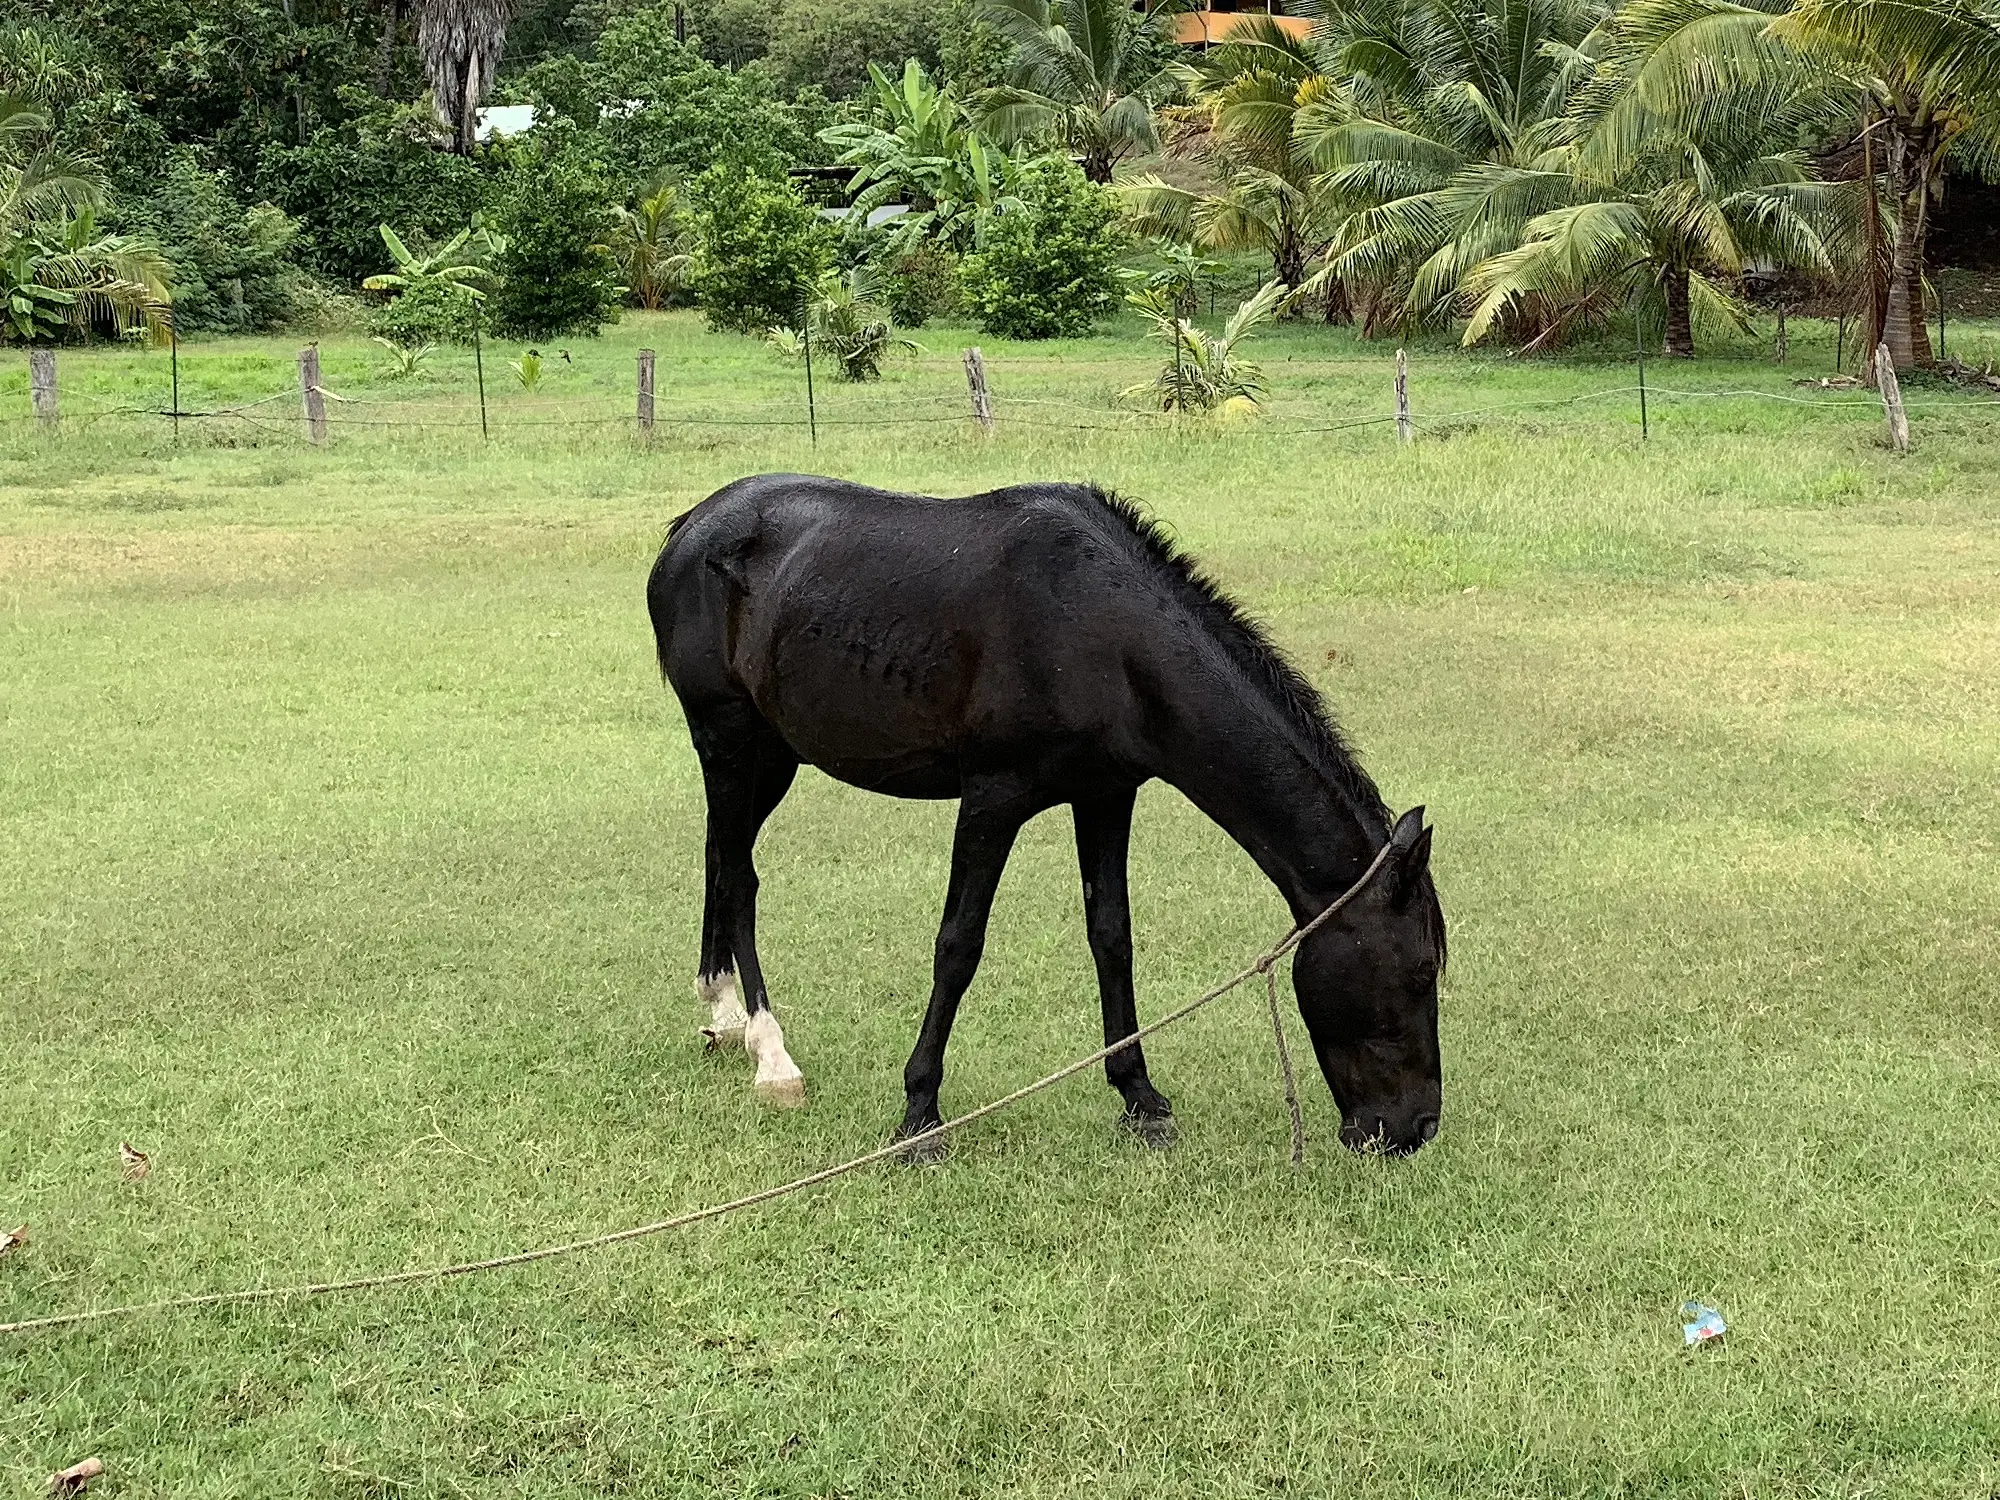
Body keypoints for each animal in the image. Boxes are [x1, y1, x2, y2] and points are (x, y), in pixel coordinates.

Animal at [648, 476, 1448, 1160]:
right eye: (1416, 973)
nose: (1415, 1128)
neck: (1102, 632)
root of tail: (693, 525)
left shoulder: (1106, 796)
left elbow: (1111, 937)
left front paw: (1138, 1097)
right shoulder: (992, 799)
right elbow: (959, 946)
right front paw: (919, 1113)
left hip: (769, 757)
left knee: (722, 862)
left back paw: (723, 1014)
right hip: (730, 742)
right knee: (739, 878)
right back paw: (770, 1053)